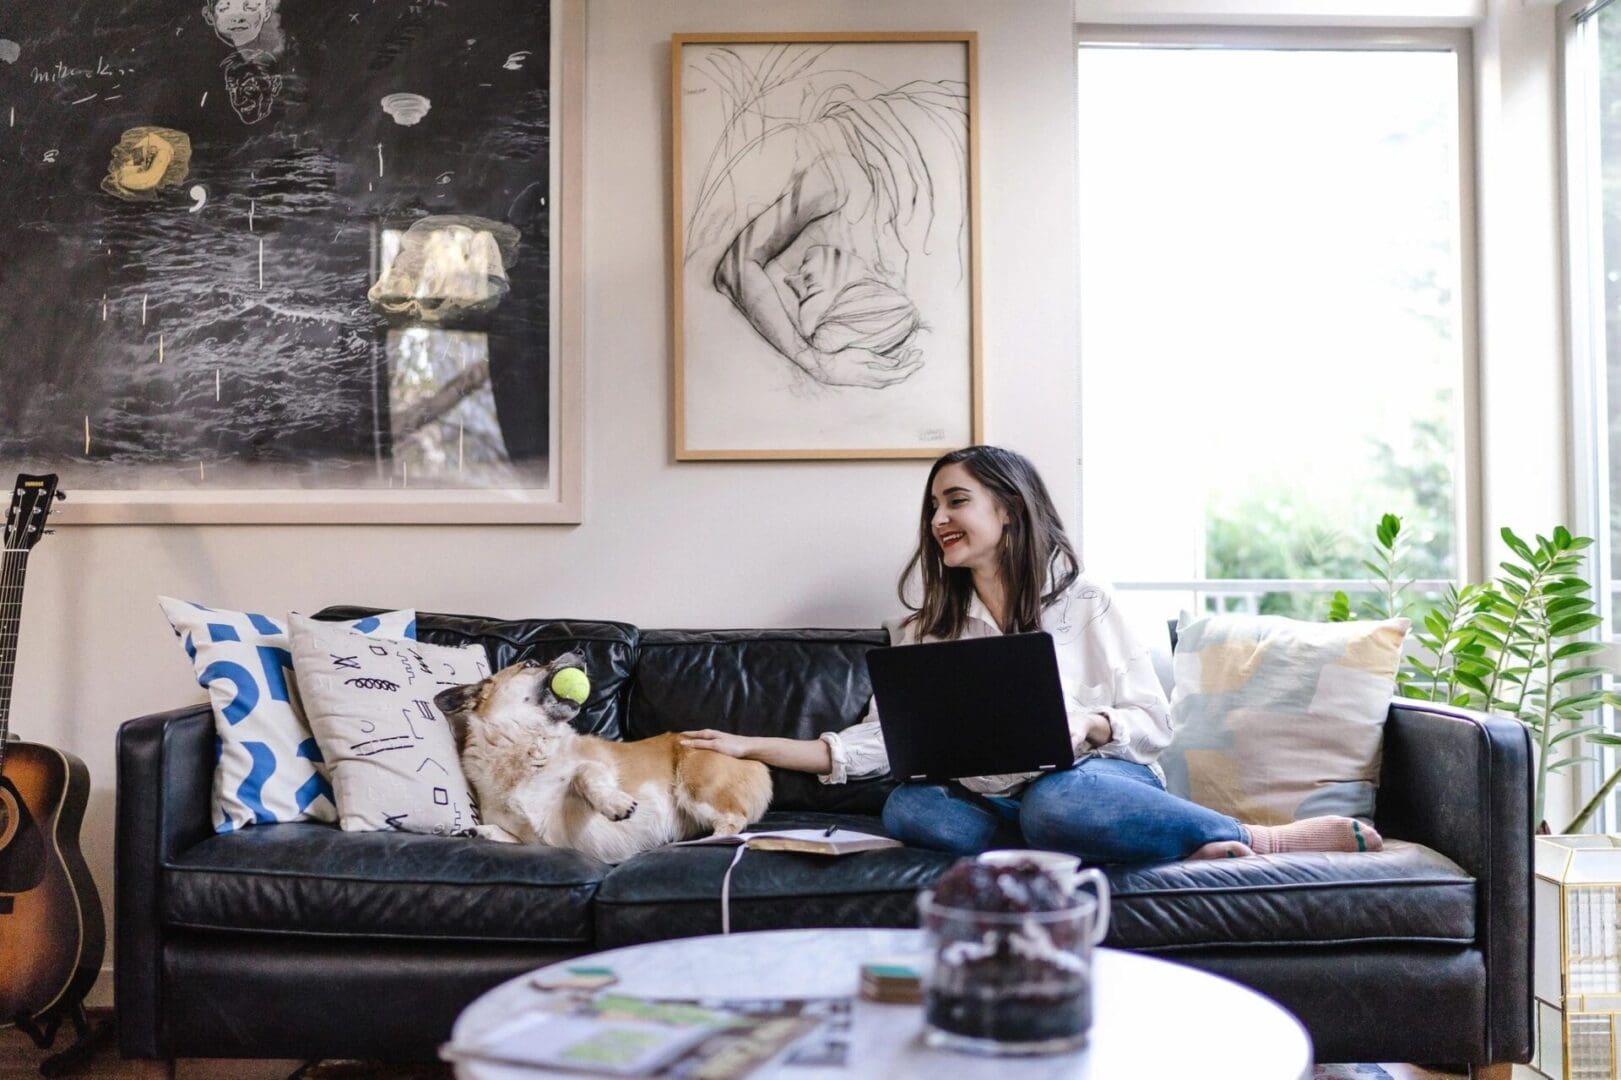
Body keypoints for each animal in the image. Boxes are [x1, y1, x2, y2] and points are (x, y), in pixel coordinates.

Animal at [437, 642, 771, 862]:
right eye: (530, 663)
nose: (581, 652)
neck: (523, 747)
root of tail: (758, 761)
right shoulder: (534, 837)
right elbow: (505, 832)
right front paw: (476, 831)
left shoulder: (596, 771)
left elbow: (583, 772)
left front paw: (616, 804)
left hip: (696, 785)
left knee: (733, 821)